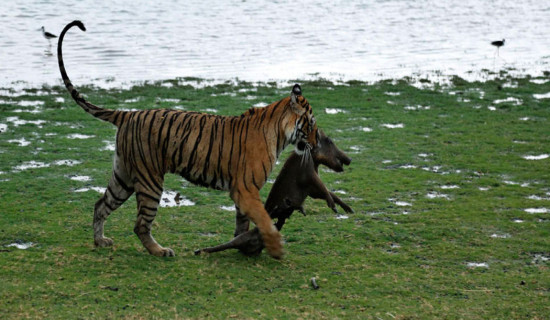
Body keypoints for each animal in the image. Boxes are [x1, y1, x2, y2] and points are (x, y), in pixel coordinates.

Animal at [56, 20, 320, 260]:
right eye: (311, 124)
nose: (317, 144)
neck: (279, 132)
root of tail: (128, 114)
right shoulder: (246, 188)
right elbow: (265, 220)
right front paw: (275, 247)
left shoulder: (243, 193)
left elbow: (243, 223)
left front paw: (243, 245)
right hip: (150, 180)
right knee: (140, 224)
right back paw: (160, 251)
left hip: (124, 177)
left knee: (101, 204)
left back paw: (100, 241)